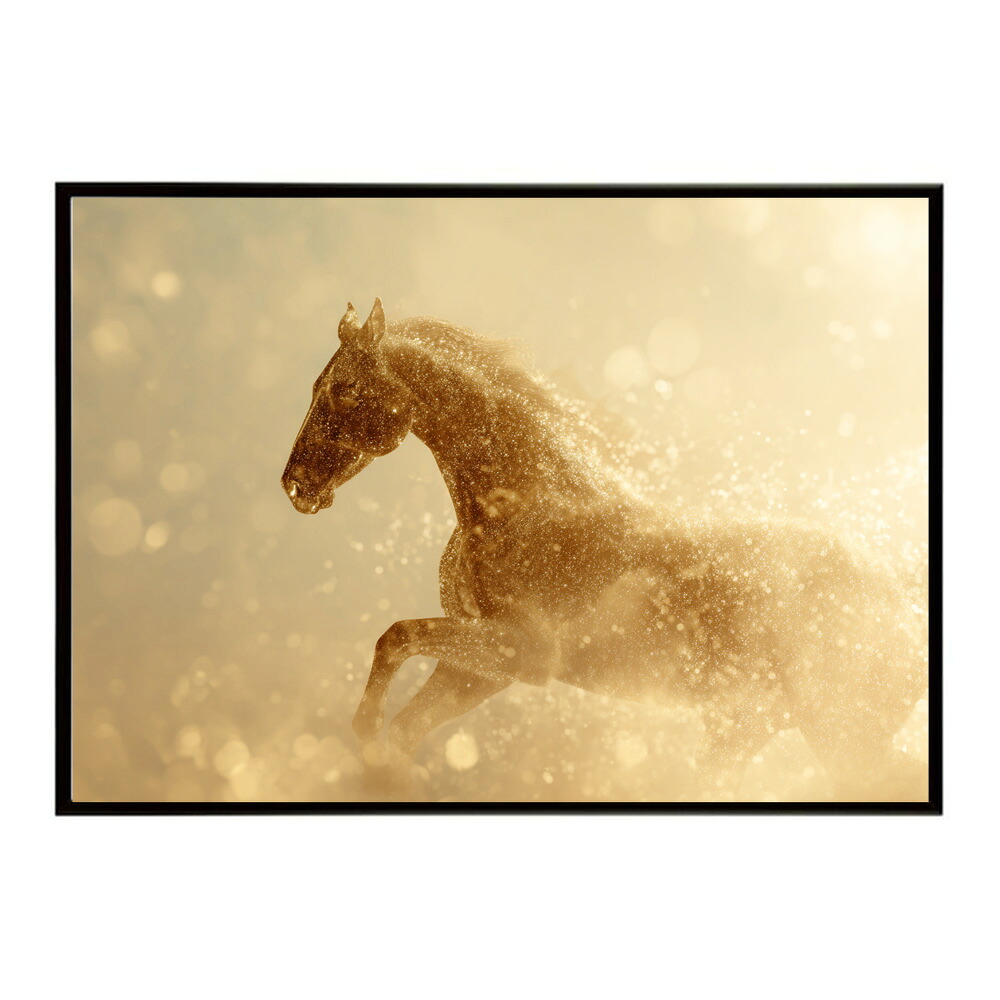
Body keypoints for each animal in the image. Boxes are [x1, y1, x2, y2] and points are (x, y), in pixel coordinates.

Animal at [281, 299, 928, 801]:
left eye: (343, 390)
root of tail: (902, 595)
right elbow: (406, 728)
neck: (528, 507)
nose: (295, 486)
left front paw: (362, 730)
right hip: (744, 731)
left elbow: (395, 637)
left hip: (843, 736)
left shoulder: (522, 653)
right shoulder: (480, 670)